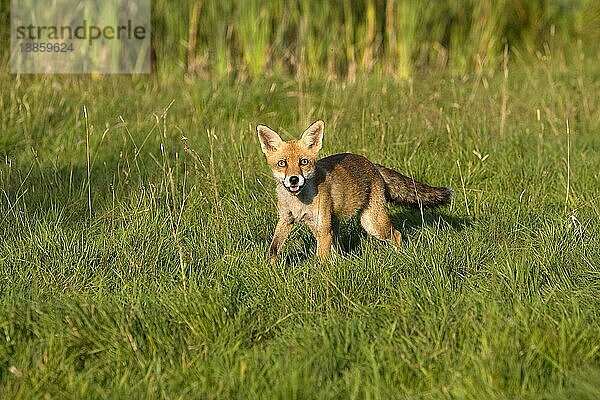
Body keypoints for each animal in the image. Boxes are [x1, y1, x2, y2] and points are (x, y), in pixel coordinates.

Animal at [255, 120, 452, 264]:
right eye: (282, 163)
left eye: (304, 162)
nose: (294, 179)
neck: (298, 202)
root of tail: (372, 164)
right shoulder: (286, 220)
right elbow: (273, 249)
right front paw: (270, 270)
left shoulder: (322, 229)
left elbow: (320, 260)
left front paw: (318, 280)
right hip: (330, 225)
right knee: (338, 249)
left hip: (372, 223)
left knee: (397, 235)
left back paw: (400, 257)